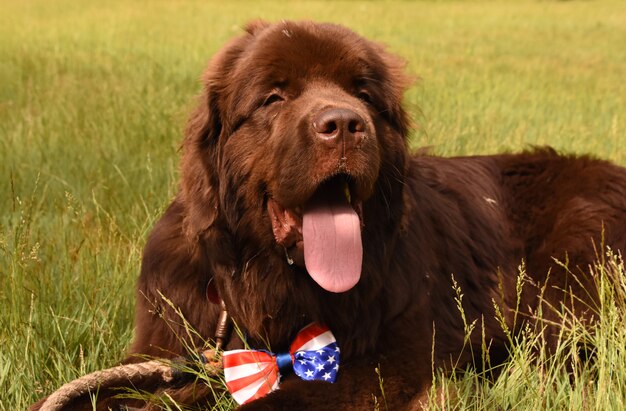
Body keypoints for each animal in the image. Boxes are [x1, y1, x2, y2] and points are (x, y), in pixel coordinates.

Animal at [33, 20, 624, 411]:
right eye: (274, 98)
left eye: (362, 93)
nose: (343, 123)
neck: (262, 285)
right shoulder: (163, 349)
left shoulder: (386, 361)